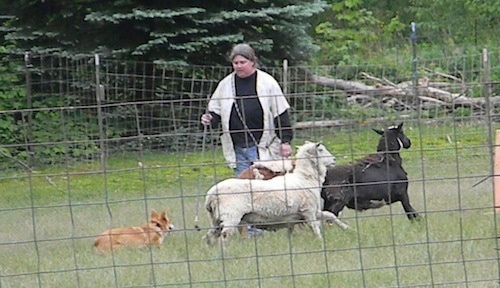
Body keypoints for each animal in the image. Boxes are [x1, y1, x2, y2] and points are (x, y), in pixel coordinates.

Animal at [202, 141, 348, 246]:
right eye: (321, 149)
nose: (334, 160)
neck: (304, 178)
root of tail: (211, 194)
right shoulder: (308, 211)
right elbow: (315, 228)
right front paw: (320, 242)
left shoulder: (304, 213)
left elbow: (330, 215)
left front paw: (347, 228)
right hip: (231, 216)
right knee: (225, 236)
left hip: (216, 219)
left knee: (210, 236)